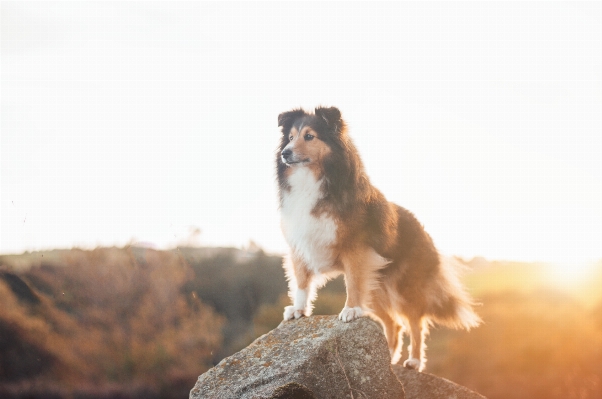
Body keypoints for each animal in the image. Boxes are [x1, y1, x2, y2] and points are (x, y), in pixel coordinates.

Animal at [276, 107, 478, 372]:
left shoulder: (355, 249)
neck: (313, 179)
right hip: (375, 287)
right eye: (290, 137)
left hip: (403, 286)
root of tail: (423, 229)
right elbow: (301, 282)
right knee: (394, 324)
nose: (285, 153)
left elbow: (352, 283)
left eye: (309, 136)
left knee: (415, 322)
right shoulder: (300, 246)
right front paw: (298, 310)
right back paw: (389, 362)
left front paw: (350, 310)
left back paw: (413, 361)